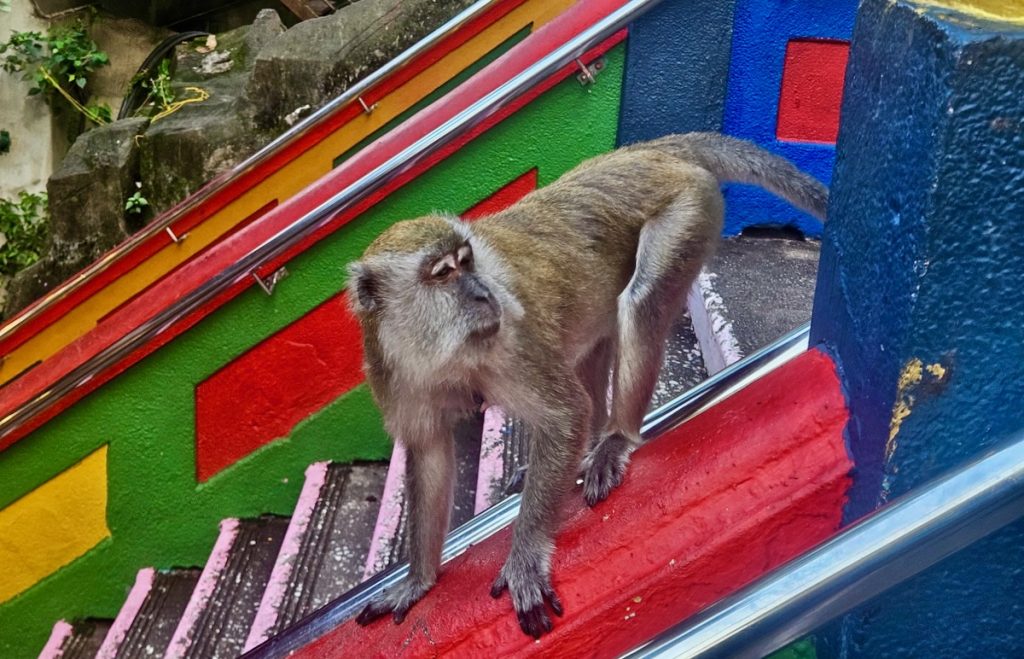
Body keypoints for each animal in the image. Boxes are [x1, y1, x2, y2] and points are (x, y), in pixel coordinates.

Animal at [348, 132, 828, 638]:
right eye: (443, 273)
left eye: (467, 261)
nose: (484, 294)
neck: (436, 346)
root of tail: (645, 153)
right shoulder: (395, 373)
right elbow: (430, 454)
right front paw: (418, 580)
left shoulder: (510, 345)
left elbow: (564, 415)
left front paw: (526, 557)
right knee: (590, 346)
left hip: (689, 207)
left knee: (640, 302)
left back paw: (614, 439)